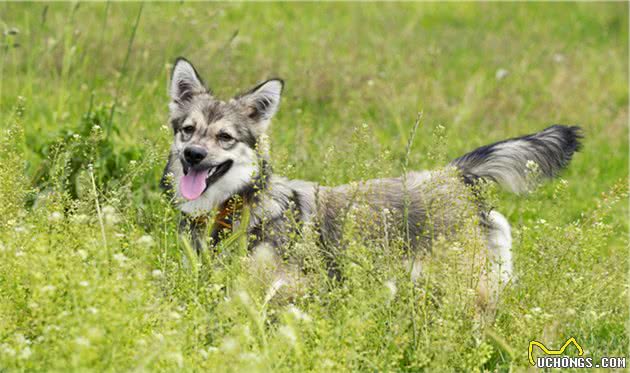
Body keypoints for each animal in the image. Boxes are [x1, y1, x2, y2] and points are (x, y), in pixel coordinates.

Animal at [160, 56, 584, 310]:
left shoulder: (290, 292)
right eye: (188, 130)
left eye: (225, 138)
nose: (193, 156)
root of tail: (453, 175)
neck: (237, 206)